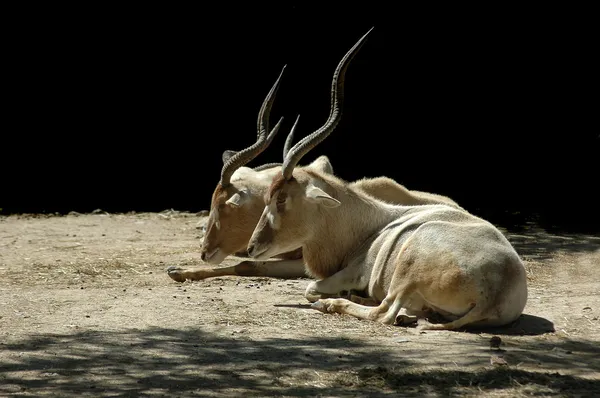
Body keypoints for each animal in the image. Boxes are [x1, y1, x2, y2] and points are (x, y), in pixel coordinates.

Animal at [246, 29, 528, 332]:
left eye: (282, 198)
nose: (251, 248)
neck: (368, 225)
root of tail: (495, 293)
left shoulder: (353, 273)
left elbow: (310, 288)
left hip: (408, 266)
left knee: (384, 312)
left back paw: (334, 303)